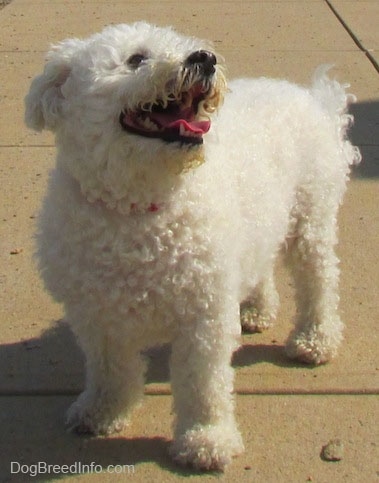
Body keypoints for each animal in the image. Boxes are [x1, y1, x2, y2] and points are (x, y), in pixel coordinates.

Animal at [25, 22, 360, 472]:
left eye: (186, 45)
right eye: (136, 59)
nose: (205, 58)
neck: (140, 208)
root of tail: (313, 97)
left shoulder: (204, 316)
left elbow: (203, 385)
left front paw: (206, 439)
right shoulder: (97, 316)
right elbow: (109, 369)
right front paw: (102, 411)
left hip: (311, 220)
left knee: (318, 282)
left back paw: (315, 340)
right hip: (258, 227)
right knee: (261, 265)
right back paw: (256, 310)